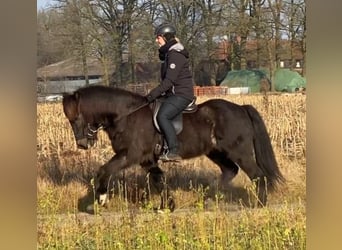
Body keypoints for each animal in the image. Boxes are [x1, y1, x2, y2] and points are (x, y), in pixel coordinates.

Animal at [62, 85, 284, 210]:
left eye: (75, 118)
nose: (83, 144)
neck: (126, 115)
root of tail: (241, 108)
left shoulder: (131, 155)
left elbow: (104, 170)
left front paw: (101, 199)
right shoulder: (147, 159)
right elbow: (159, 180)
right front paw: (167, 206)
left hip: (239, 151)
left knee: (257, 175)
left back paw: (259, 204)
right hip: (216, 152)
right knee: (230, 171)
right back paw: (206, 199)